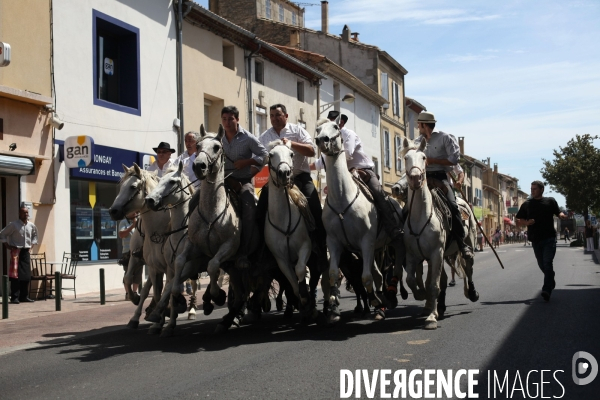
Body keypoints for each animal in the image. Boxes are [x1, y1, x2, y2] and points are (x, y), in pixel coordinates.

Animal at [314, 120, 404, 324]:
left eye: (335, 127)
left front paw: (375, 301)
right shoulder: (334, 243)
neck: (342, 199)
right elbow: (333, 275)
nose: (322, 140)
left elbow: (365, 278)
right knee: (378, 275)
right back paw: (381, 305)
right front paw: (333, 309)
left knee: (394, 266)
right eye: (317, 129)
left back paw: (388, 298)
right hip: (371, 250)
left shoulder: (366, 242)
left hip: (391, 242)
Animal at [400, 139, 480, 330]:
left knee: (468, 267)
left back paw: (472, 293)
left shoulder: (436, 253)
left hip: (468, 244)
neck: (421, 217)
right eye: (406, 158)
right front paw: (422, 297)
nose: (415, 178)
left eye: (423, 157)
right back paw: (440, 307)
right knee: (444, 278)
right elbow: (412, 280)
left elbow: (434, 285)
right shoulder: (413, 255)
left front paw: (431, 318)